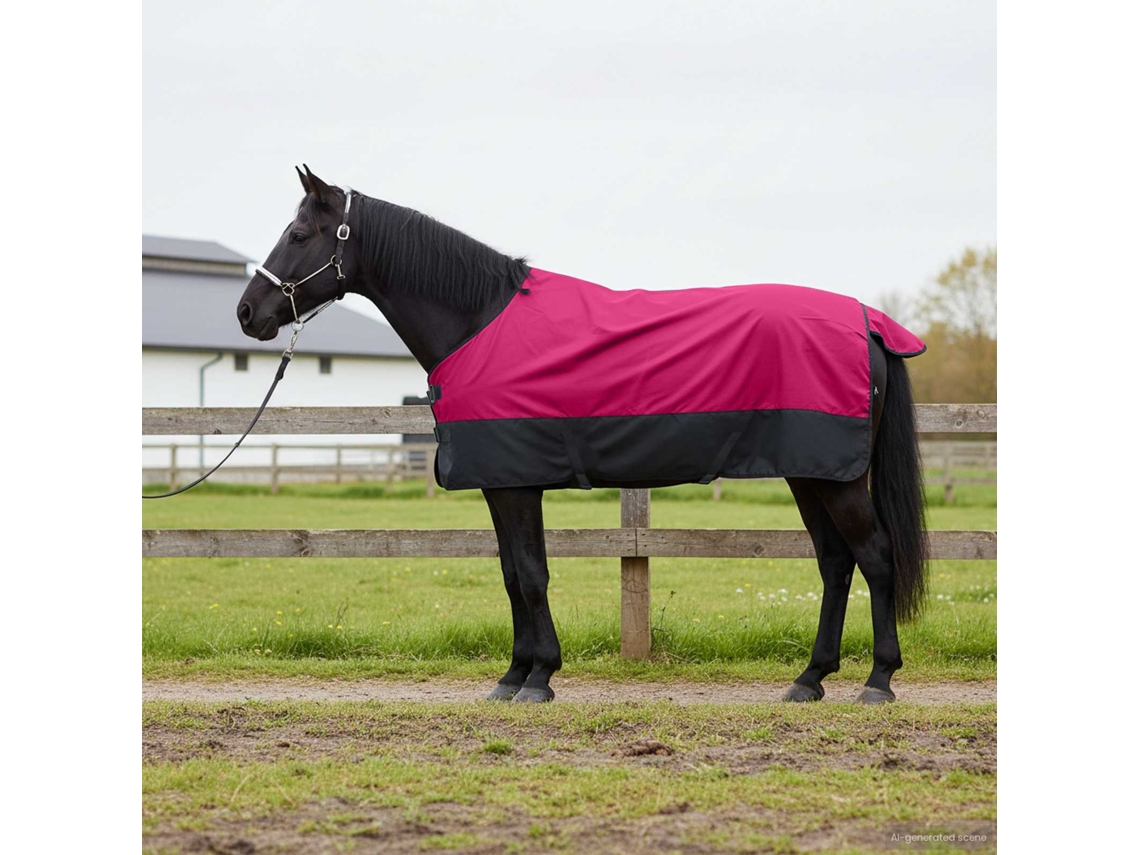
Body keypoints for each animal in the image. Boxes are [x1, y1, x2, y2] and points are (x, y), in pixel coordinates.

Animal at [237, 165, 929, 705]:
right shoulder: (502, 484)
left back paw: (878, 680)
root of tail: (867, 322)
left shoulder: (516, 485)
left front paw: (538, 677)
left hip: (835, 478)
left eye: (298, 234)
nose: (248, 313)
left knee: (875, 556)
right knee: (835, 562)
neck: (478, 320)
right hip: (811, 473)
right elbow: (513, 574)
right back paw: (810, 679)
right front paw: (514, 675)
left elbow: (531, 575)